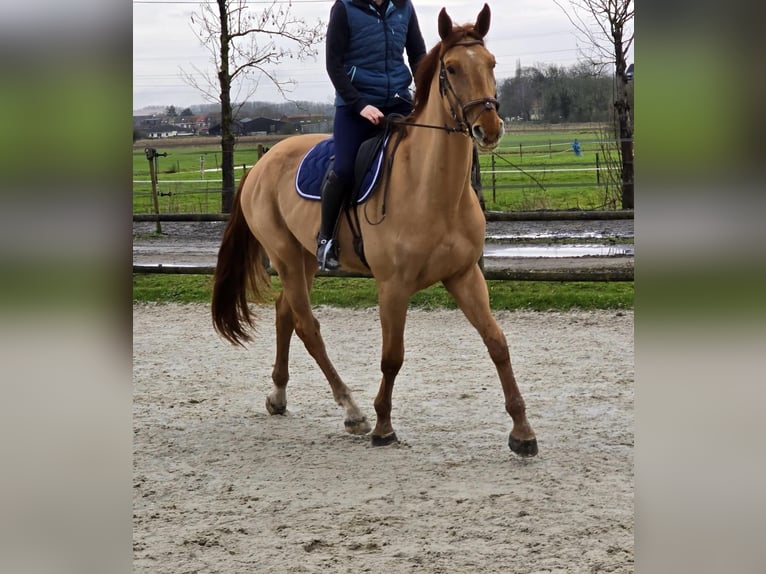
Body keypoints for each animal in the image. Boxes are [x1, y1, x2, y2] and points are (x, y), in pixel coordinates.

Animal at [213, 2, 536, 456]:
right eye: (452, 68)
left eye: (491, 63)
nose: (488, 129)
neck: (432, 190)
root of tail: (262, 162)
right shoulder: (393, 286)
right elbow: (392, 356)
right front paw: (383, 425)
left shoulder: (464, 275)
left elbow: (497, 343)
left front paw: (522, 432)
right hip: (285, 256)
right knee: (308, 326)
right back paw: (352, 411)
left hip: (305, 257)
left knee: (285, 313)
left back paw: (278, 396)